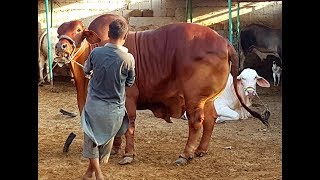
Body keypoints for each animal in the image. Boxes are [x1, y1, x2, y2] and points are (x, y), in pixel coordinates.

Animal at [55, 13, 268, 166]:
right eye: (59, 32)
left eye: (79, 29)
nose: (61, 46)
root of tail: (225, 43)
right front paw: (114, 149)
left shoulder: (128, 98)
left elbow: (128, 126)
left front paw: (128, 154)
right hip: (208, 99)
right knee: (211, 119)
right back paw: (200, 150)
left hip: (194, 98)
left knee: (196, 123)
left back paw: (185, 154)